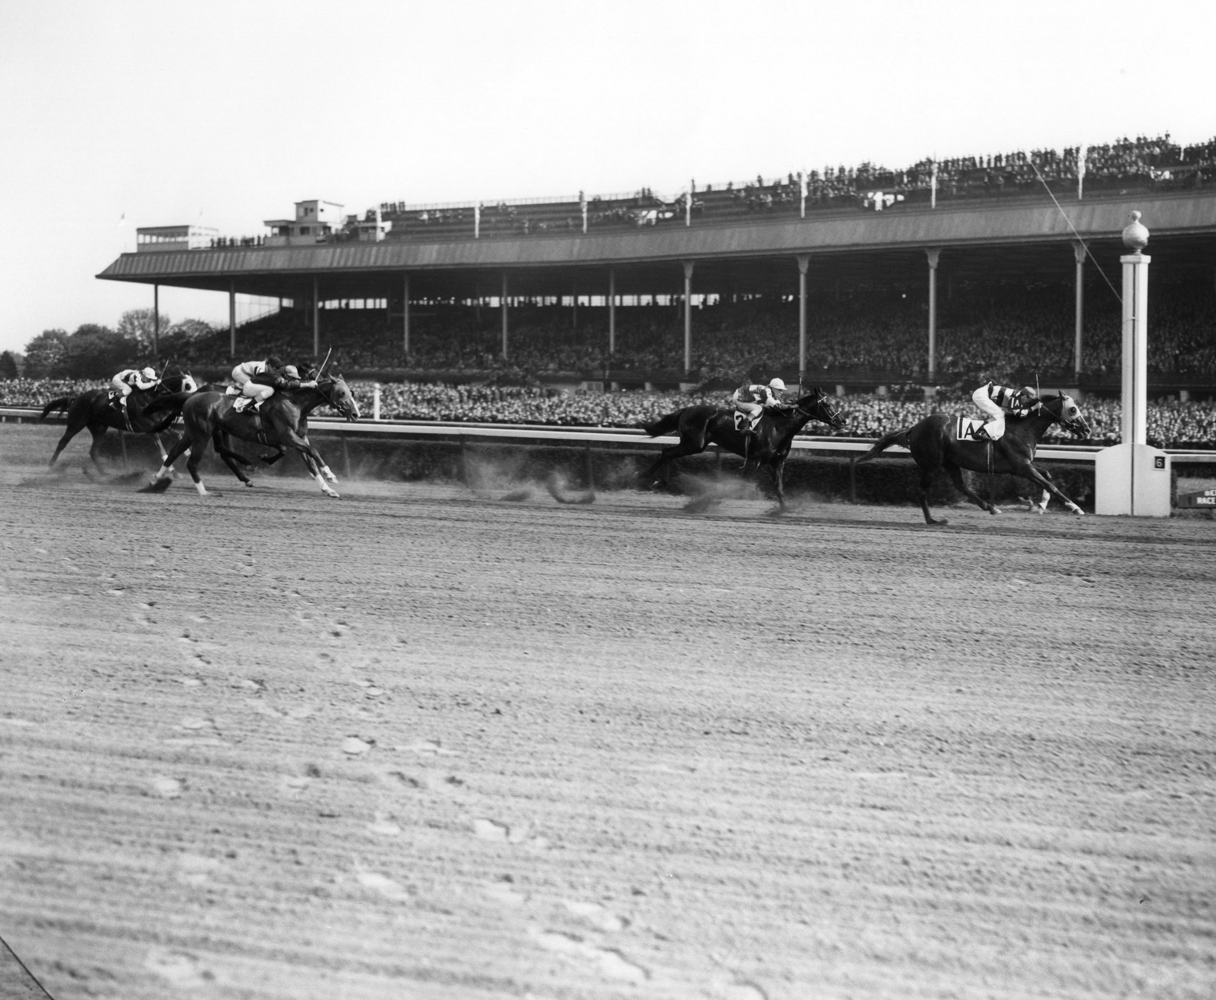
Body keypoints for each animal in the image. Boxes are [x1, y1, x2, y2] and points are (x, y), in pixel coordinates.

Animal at [40, 374, 198, 476]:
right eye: (188, 385)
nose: (196, 400)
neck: (151, 399)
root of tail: (76, 397)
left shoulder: (159, 425)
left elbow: (177, 435)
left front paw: (188, 457)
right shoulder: (148, 429)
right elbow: (161, 449)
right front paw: (174, 472)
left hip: (99, 428)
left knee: (93, 451)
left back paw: (104, 474)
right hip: (76, 423)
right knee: (62, 442)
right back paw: (50, 467)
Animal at [142, 377, 357, 498]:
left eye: (352, 392)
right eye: (341, 393)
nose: (356, 414)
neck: (295, 404)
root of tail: (191, 396)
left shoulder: (299, 438)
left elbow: (310, 463)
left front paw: (328, 489)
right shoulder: (288, 436)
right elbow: (313, 452)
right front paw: (331, 475)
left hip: (192, 432)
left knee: (174, 453)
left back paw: (155, 481)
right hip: (203, 434)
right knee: (197, 460)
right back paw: (206, 490)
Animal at [637, 386, 846, 506]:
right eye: (827, 404)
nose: (842, 421)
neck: (779, 427)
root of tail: (687, 409)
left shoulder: (777, 462)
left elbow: (778, 487)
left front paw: (784, 509)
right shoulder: (754, 460)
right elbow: (741, 483)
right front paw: (712, 500)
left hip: (694, 444)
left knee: (669, 453)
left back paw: (659, 481)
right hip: (694, 444)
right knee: (666, 452)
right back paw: (644, 475)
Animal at [856, 391, 1094, 525]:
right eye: (1073, 409)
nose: (1087, 430)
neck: (1022, 427)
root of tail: (914, 428)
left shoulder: (1023, 466)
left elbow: (1048, 476)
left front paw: (1042, 505)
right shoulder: (1022, 467)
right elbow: (1050, 483)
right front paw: (1075, 507)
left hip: (950, 462)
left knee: (961, 486)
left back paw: (991, 507)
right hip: (931, 464)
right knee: (923, 490)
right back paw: (933, 520)